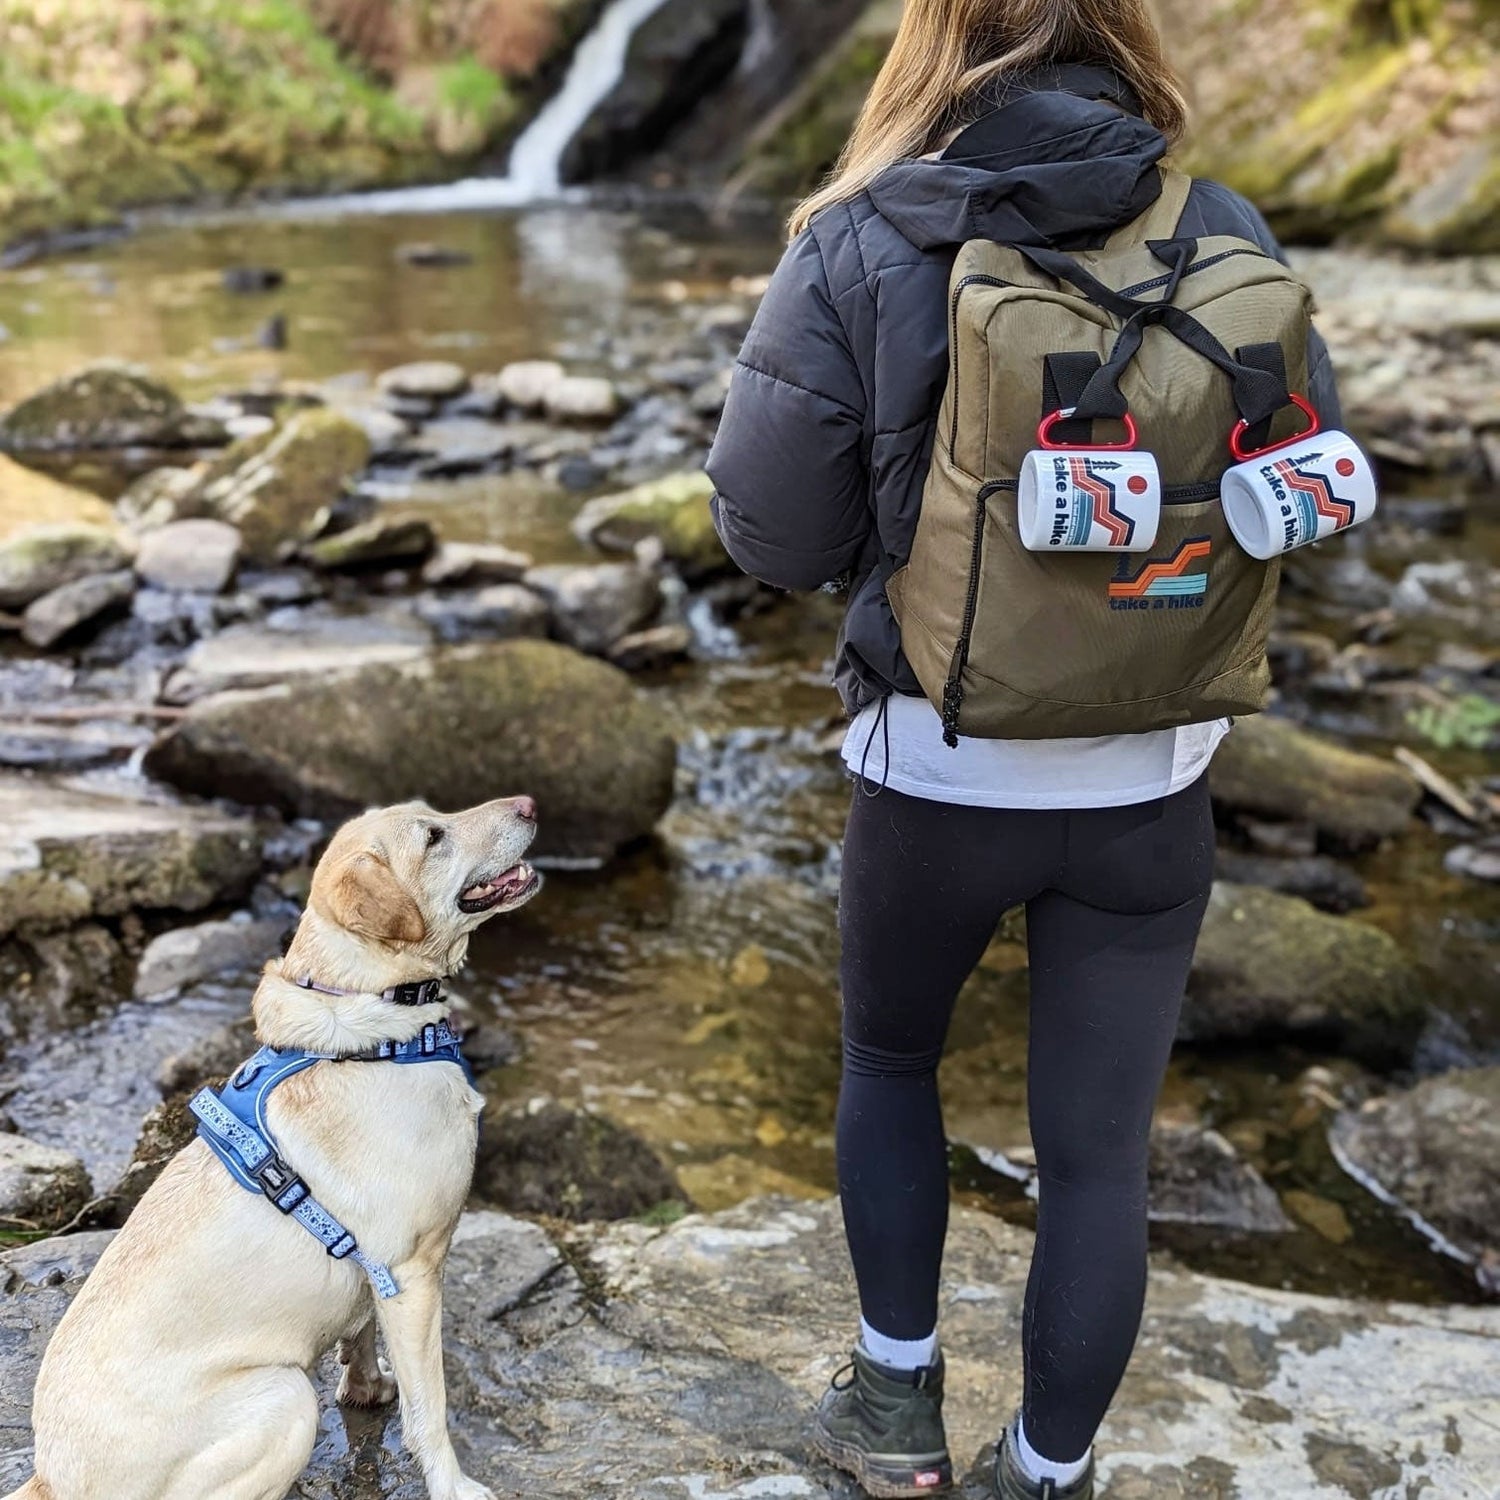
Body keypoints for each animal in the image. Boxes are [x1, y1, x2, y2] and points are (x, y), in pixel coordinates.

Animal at [5, 798, 546, 1500]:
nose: (530, 804)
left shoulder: (376, 1275)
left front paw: (367, 1387)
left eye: (435, 814)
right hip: (286, 1396)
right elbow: (430, 1408)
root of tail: (51, 1476)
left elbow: (361, 1334)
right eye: (434, 837)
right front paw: (452, 1484)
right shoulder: (411, 1273)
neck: (376, 1019)